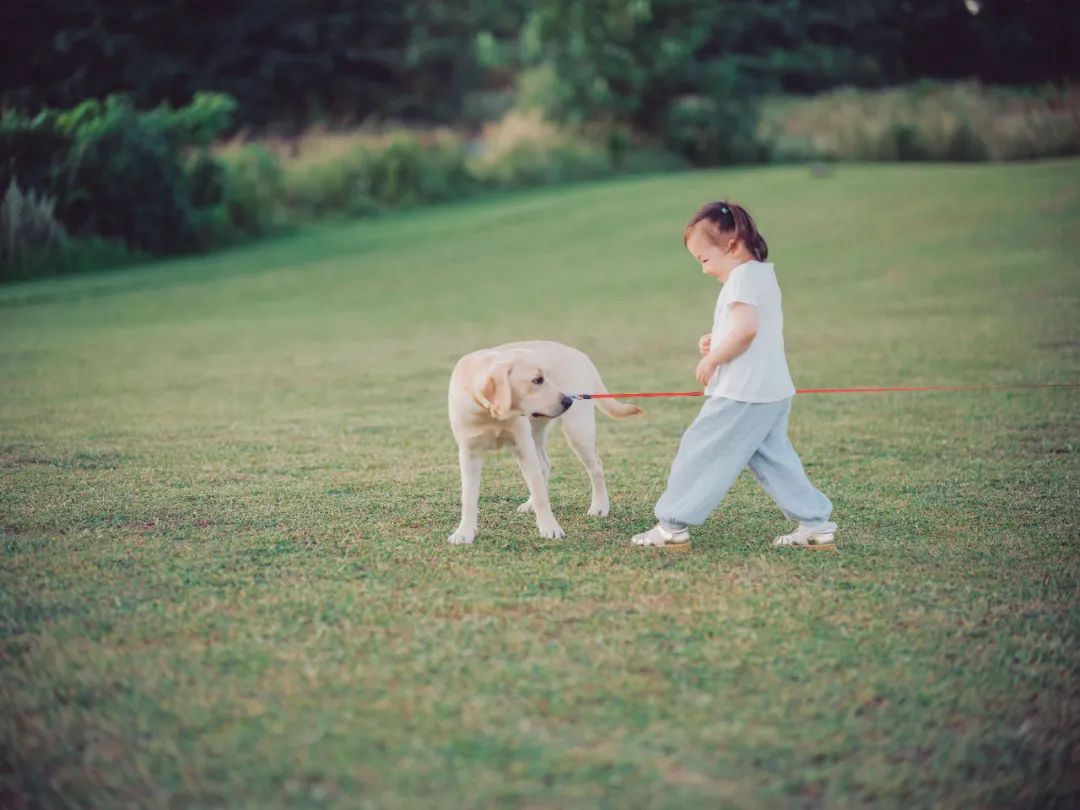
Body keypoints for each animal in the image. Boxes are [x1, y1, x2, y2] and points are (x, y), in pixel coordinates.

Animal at [447, 341, 639, 546]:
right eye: (538, 380)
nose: (568, 400)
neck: (491, 413)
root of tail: (579, 354)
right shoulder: (469, 454)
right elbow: (468, 498)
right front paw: (464, 532)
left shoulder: (523, 446)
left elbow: (540, 494)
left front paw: (549, 528)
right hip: (536, 433)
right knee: (544, 466)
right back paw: (531, 503)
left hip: (577, 430)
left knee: (595, 467)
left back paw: (600, 506)